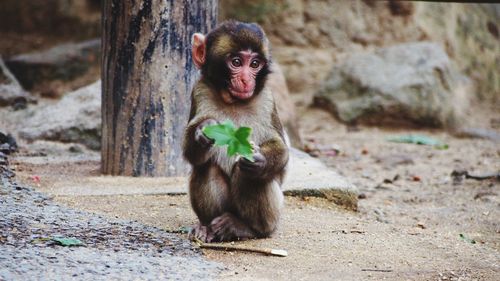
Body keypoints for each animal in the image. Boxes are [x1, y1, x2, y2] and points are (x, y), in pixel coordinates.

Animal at [183, 20, 290, 242]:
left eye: (255, 64)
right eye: (237, 62)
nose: (246, 81)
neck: (233, 101)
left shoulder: (267, 100)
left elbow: (281, 150)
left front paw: (261, 160)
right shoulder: (200, 91)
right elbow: (192, 153)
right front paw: (202, 133)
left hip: (274, 216)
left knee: (248, 174)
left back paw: (245, 228)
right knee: (206, 167)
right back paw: (208, 227)